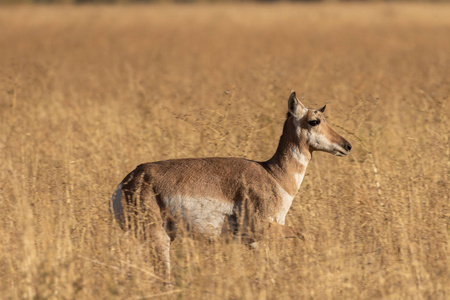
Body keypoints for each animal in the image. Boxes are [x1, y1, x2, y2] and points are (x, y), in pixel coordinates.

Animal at [111, 91, 352, 278]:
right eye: (314, 121)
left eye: (325, 118)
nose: (347, 145)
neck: (273, 175)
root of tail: (128, 179)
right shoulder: (261, 228)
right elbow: (305, 233)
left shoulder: (255, 241)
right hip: (157, 238)